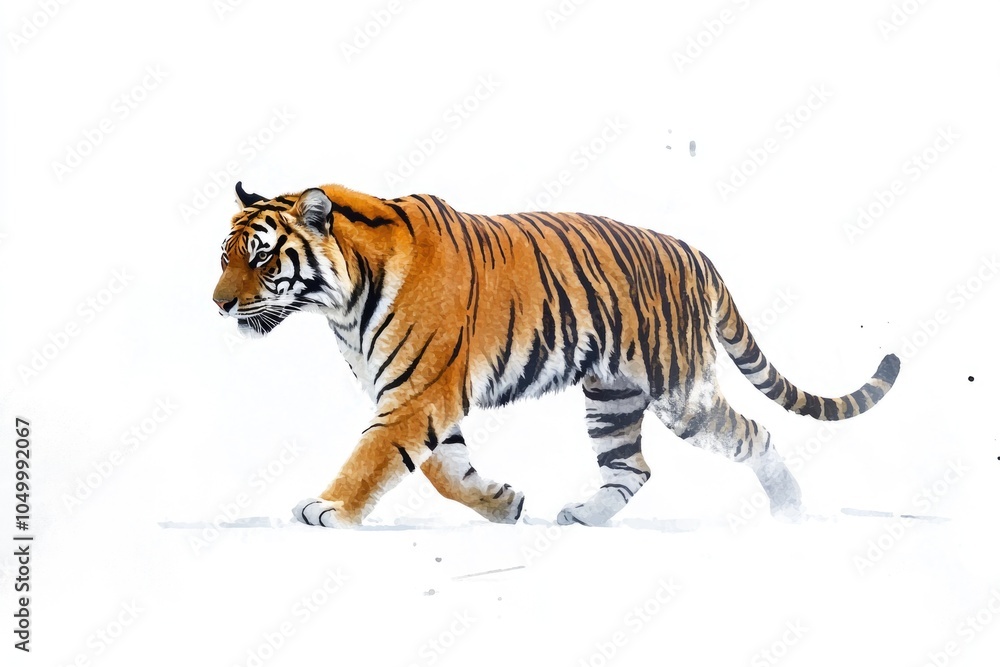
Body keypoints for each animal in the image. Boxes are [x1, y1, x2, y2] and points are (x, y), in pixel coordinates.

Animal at [213, 181, 899, 528]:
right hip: (612, 396)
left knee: (753, 432)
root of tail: (694, 252)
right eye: (225, 256)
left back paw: (789, 509)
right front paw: (502, 504)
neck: (341, 303)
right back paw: (586, 515)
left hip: (680, 393)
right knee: (631, 467)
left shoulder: (418, 392)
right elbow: (443, 468)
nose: (218, 305)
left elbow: (373, 457)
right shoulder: (421, 396)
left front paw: (328, 508)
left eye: (262, 258)